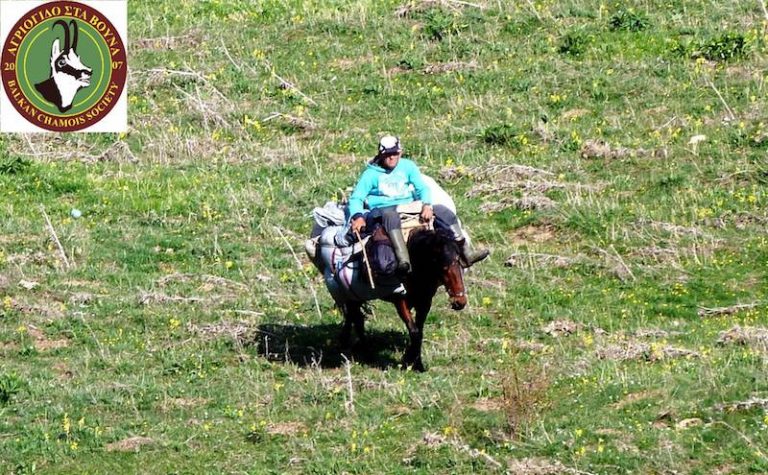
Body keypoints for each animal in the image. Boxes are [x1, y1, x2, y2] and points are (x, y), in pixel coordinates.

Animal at [315, 226, 467, 372]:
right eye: (443, 266)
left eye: (459, 262)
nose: (460, 302)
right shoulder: (400, 301)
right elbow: (414, 331)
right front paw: (412, 362)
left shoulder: (424, 302)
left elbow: (419, 331)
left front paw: (413, 361)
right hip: (353, 296)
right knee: (356, 319)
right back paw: (366, 353)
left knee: (354, 317)